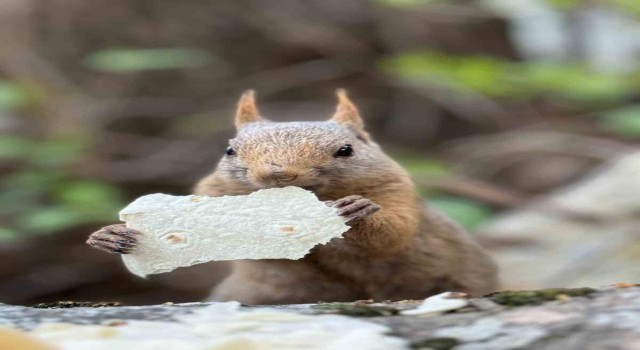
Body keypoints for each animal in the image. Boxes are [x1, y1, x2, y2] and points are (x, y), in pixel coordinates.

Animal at [85, 89, 498, 304]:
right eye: (230, 150)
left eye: (347, 150)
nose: (278, 173)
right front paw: (110, 235)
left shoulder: (398, 192)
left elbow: (394, 233)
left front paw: (358, 211)